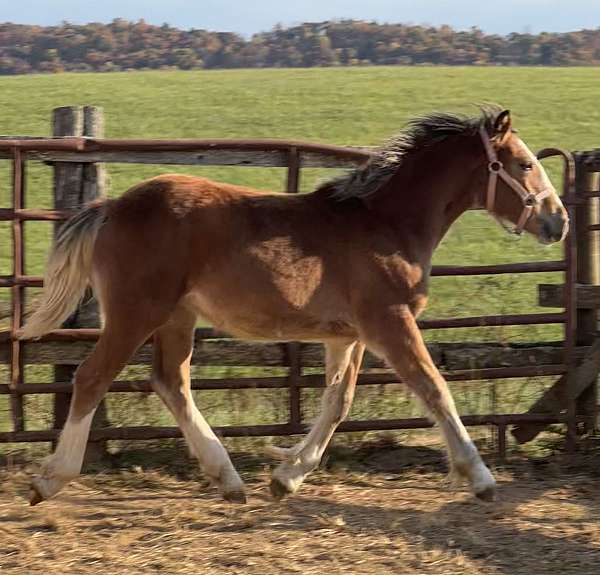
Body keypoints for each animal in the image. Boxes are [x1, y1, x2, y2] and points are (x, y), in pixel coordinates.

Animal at [21, 106, 568, 506]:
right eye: (524, 164)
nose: (557, 221)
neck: (385, 224)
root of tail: (111, 207)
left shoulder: (349, 335)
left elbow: (337, 402)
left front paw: (287, 478)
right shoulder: (390, 321)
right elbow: (434, 389)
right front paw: (481, 478)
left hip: (178, 316)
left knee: (170, 381)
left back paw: (230, 480)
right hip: (138, 311)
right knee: (92, 377)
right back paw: (51, 480)